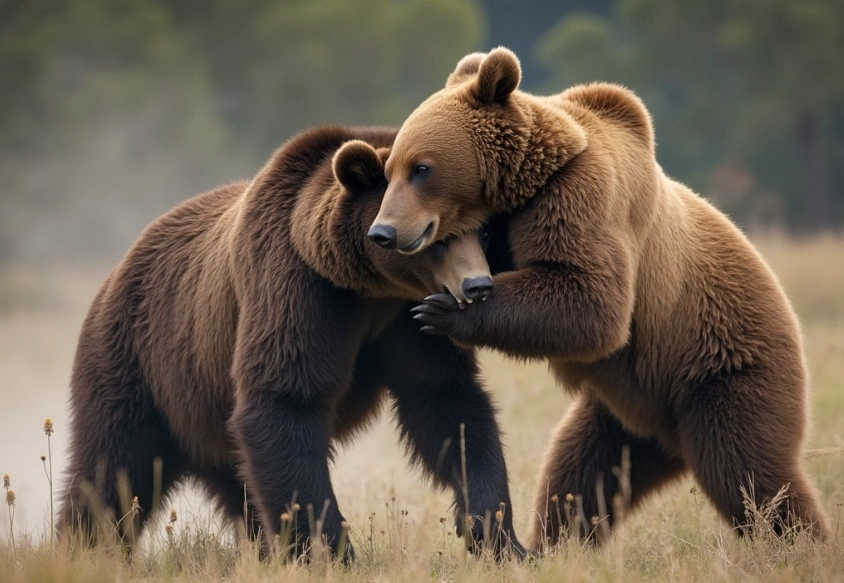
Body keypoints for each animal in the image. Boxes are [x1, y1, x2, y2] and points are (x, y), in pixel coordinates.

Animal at [57, 125, 526, 560]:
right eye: (439, 236)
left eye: (483, 231)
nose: (477, 286)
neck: (367, 283)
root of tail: (119, 266)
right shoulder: (298, 286)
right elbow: (285, 400)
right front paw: (333, 551)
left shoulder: (407, 317)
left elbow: (445, 401)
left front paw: (498, 534)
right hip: (143, 361)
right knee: (114, 464)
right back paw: (82, 548)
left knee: (239, 484)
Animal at [367, 48, 830, 550]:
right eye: (391, 170)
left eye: (421, 168)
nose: (384, 231)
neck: (527, 186)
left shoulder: (583, 197)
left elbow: (589, 298)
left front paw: (445, 309)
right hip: (621, 413)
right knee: (579, 475)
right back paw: (555, 545)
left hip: (722, 365)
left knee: (748, 470)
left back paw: (800, 545)